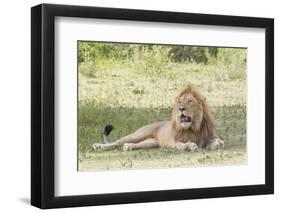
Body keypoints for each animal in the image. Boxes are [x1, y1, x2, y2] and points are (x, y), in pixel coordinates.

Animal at [92, 85, 223, 151]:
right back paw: (98, 146)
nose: (181, 108)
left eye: (190, 101)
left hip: (150, 142)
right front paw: (190, 145)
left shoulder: (210, 135)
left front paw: (216, 144)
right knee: (117, 142)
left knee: (131, 144)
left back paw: (128, 147)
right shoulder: (173, 141)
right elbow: (181, 144)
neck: (193, 128)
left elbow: (217, 141)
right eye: (180, 102)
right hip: (139, 134)